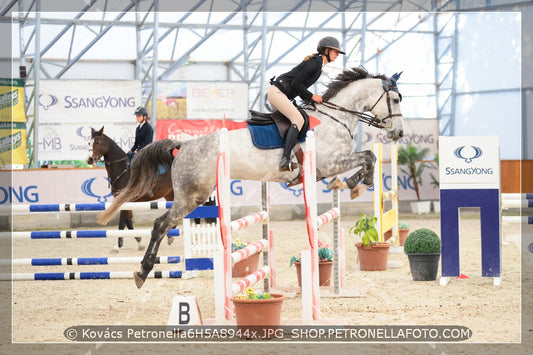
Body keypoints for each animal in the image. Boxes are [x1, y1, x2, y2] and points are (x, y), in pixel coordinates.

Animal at [96, 67, 404, 290]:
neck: (333, 119)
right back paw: (142, 271)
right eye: (396, 99)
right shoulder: (329, 163)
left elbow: (367, 156)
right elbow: (368, 157)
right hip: (192, 195)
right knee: (161, 225)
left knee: (162, 224)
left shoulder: (329, 165)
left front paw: (352, 184)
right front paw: (357, 184)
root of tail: (183, 145)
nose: (398, 133)